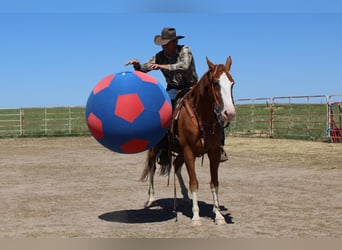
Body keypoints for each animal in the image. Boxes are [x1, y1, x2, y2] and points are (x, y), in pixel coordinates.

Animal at [140, 56, 235, 225]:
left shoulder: (214, 153)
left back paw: (184, 196)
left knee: (176, 167)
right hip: (155, 149)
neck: (202, 118)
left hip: (180, 153)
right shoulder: (189, 152)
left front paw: (218, 215)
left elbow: (214, 183)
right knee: (152, 168)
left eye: (232, 83)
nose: (229, 113)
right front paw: (196, 216)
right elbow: (194, 183)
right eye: (216, 83)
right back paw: (151, 198)